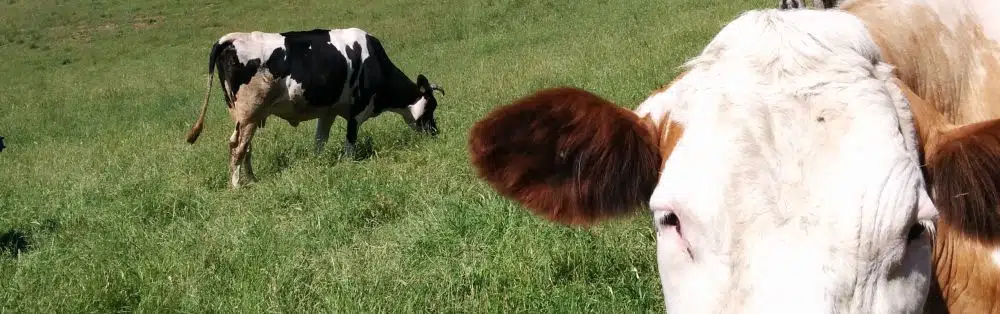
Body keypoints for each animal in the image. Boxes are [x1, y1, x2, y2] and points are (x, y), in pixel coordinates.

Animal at [183, 27, 446, 188]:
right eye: (432, 107)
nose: (436, 133)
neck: (374, 62)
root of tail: (229, 39)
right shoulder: (357, 111)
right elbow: (350, 143)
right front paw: (348, 166)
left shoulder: (327, 112)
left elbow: (319, 142)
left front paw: (318, 165)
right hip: (250, 113)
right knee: (238, 147)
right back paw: (237, 185)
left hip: (243, 116)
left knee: (244, 146)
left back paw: (253, 179)